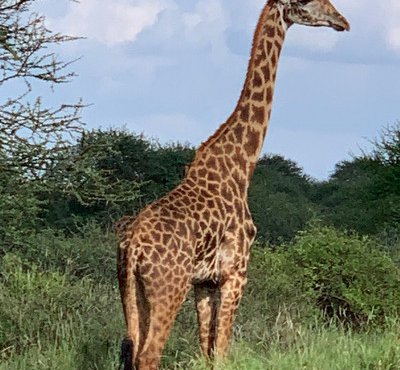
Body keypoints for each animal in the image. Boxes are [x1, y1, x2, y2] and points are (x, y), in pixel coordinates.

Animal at [117, 1, 348, 368]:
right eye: (307, 3)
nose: (343, 22)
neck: (241, 168)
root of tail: (133, 247)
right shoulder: (236, 273)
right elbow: (223, 352)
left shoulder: (205, 282)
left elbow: (207, 352)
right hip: (168, 288)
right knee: (148, 355)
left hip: (130, 289)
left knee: (130, 348)